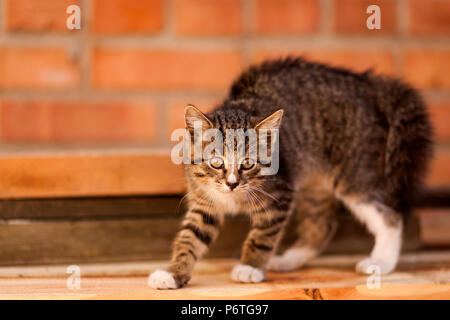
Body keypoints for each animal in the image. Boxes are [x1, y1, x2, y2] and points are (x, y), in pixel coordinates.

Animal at [149, 57, 432, 290]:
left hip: (353, 173)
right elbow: (189, 237)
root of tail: (366, 83)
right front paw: (173, 273)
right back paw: (288, 260)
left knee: (389, 214)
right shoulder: (204, 201)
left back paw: (382, 261)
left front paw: (250, 266)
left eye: (248, 164)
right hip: (314, 183)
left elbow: (262, 235)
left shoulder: (280, 194)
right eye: (216, 163)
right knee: (322, 224)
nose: (232, 184)